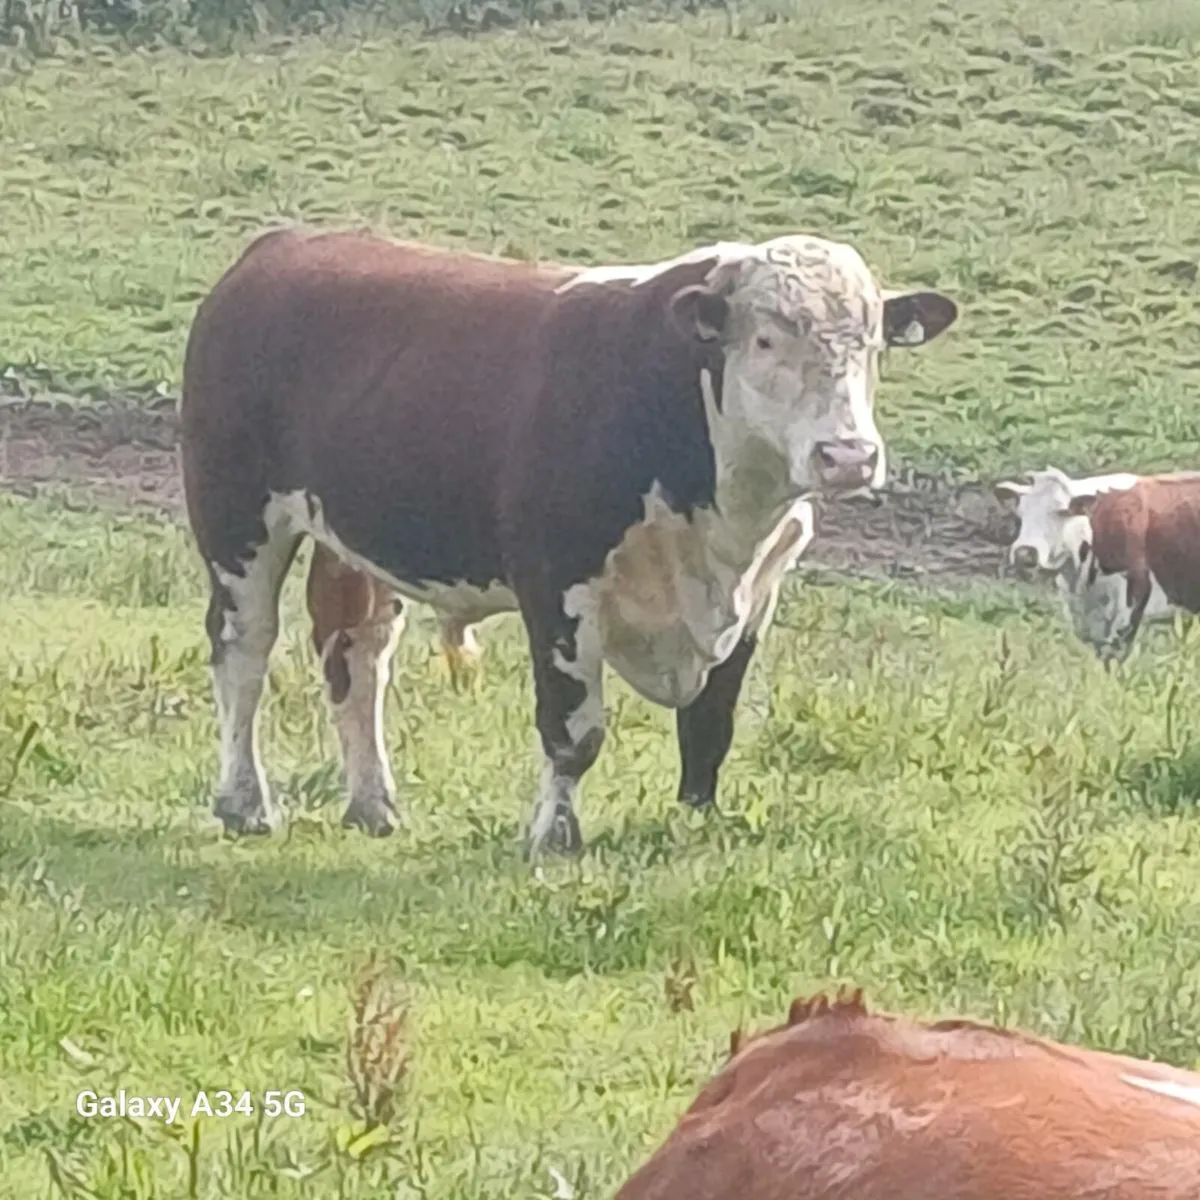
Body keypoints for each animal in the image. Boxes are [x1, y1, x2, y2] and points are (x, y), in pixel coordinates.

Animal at [179, 227, 958, 857]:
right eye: (765, 340)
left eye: (872, 345)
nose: (849, 456)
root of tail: (281, 246)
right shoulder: (558, 588)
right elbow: (573, 731)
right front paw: (554, 835)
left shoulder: (758, 593)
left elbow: (711, 724)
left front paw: (695, 826)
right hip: (235, 520)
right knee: (244, 650)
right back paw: (244, 803)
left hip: (352, 538)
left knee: (356, 651)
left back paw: (373, 804)